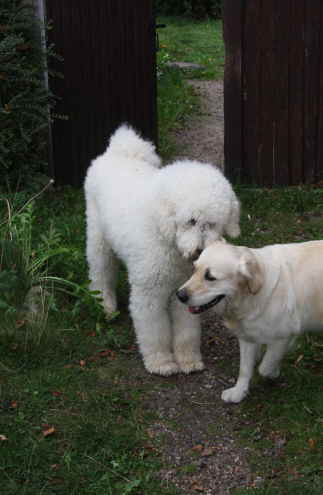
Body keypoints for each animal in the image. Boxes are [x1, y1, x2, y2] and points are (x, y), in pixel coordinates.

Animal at [83, 126, 240, 378]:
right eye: (191, 221)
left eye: (213, 223)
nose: (199, 251)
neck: (166, 238)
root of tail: (119, 150)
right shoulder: (149, 294)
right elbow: (154, 331)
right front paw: (161, 362)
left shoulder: (184, 292)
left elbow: (187, 331)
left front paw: (188, 360)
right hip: (98, 239)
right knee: (101, 272)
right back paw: (105, 306)